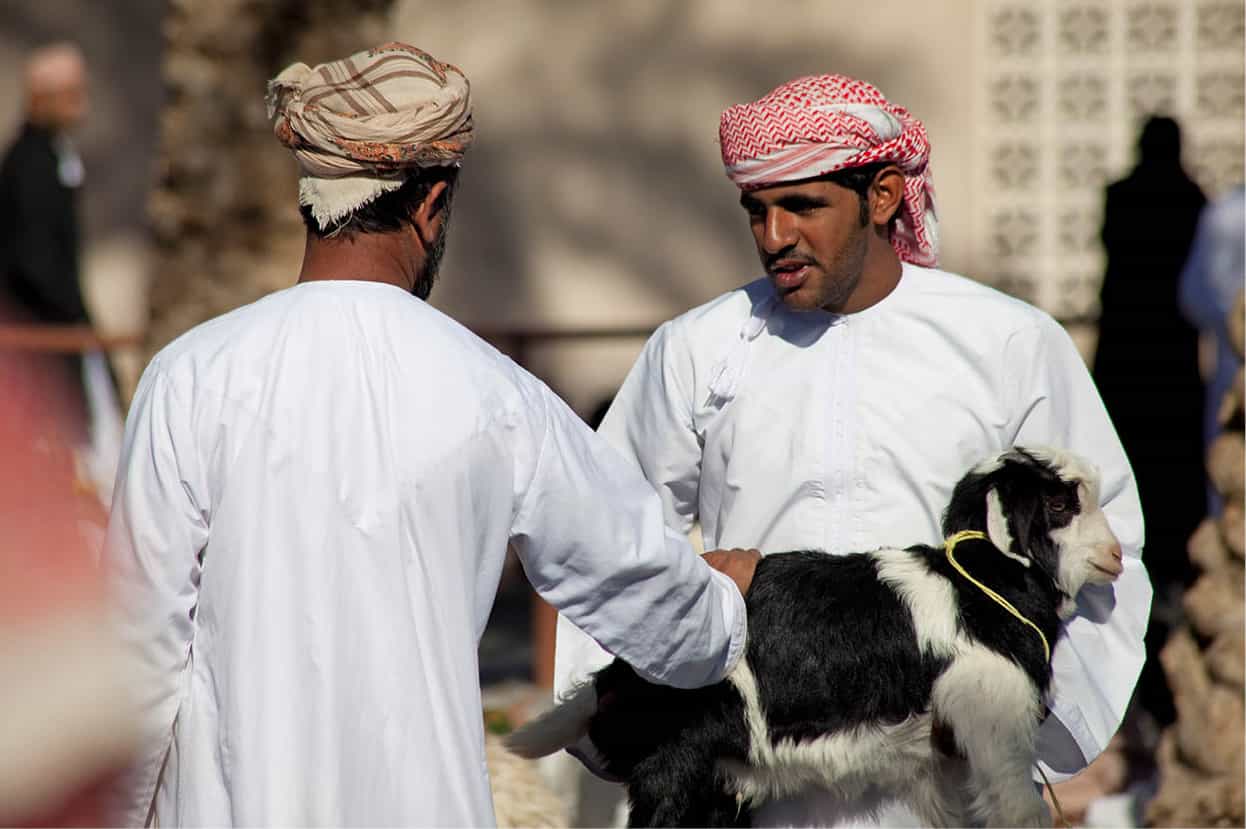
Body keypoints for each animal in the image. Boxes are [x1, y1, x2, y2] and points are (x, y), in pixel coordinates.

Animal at [505, 448, 1131, 822]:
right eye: (1059, 502)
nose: (1117, 555)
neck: (980, 590)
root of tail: (618, 676)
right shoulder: (993, 725)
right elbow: (1019, 809)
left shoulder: (947, 764)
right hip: (673, 770)